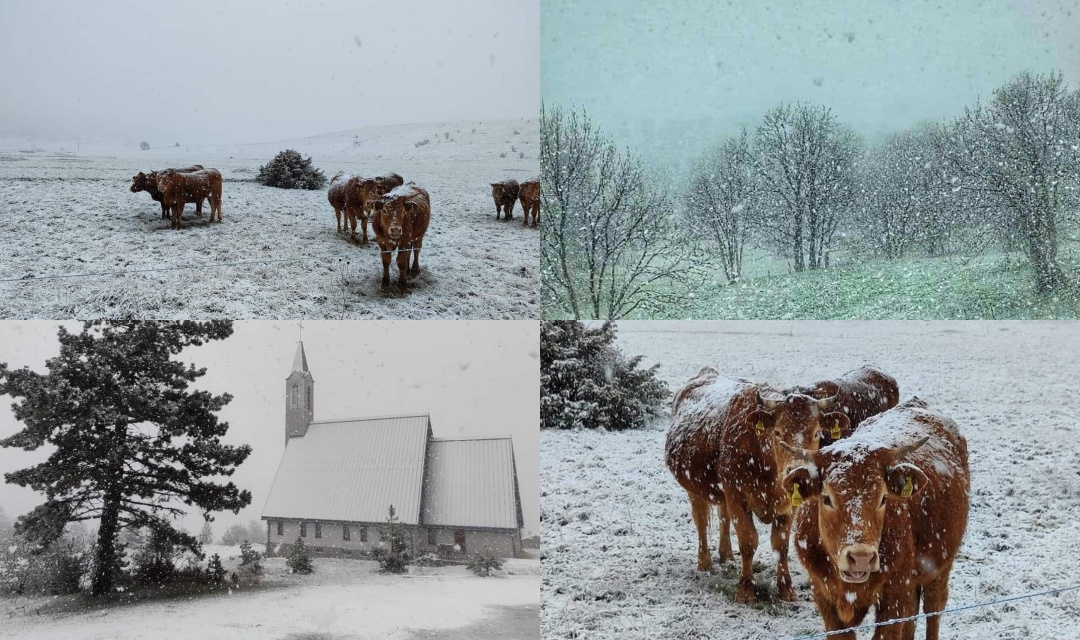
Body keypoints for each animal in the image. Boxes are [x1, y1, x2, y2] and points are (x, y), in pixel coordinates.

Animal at [660, 366, 846, 600]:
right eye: (777, 432)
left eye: (816, 433)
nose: (796, 470)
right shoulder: (736, 495)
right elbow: (748, 541)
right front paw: (746, 590)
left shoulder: (788, 505)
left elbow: (781, 545)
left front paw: (786, 589)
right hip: (695, 488)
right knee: (701, 520)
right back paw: (705, 562)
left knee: (723, 516)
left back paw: (726, 555)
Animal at [777, 397, 972, 634]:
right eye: (827, 498)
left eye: (883, 498)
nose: (861, 557)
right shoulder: (824, 596)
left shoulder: (894, 596)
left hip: (940, 568)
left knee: (933, 611)